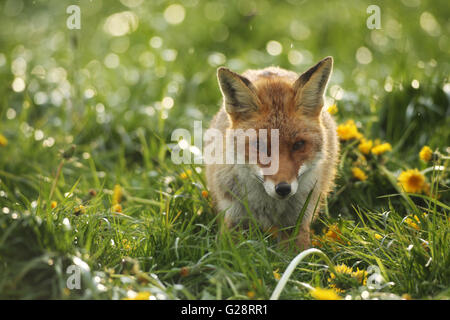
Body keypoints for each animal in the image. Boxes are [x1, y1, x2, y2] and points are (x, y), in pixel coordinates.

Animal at [206, 56, 340, 249]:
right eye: (260, 145)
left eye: (298, 144)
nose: (283, 189)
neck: (270, 208)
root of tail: (271, 69)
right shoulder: (235, 216)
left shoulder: (297, 221)